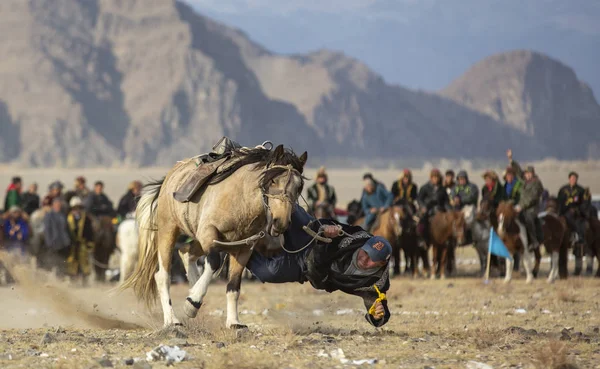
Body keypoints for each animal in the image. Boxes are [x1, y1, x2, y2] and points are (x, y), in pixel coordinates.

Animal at [122, 137, 310, 326]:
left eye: (299, 186)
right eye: (272, 181)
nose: (281, 222)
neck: (241, 198)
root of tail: (169, 178)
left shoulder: (243, 248)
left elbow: (233, 286)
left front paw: (234, 322)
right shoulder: (209, 233)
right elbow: (213, 262)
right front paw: (192, 303)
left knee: (185, 252)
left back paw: (193, 287)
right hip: (168, 230)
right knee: (163, 276)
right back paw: (172, 319)